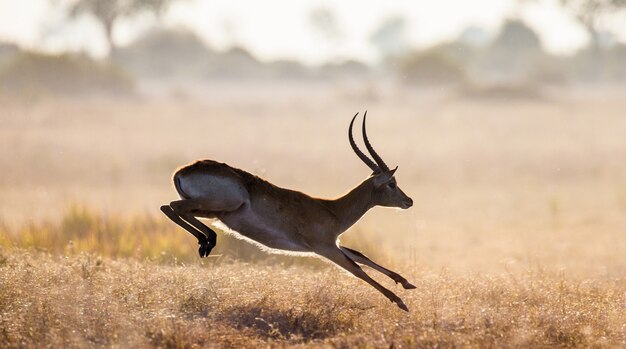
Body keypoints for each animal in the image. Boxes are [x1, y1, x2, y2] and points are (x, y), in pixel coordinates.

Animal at [161, 111, 414, 310]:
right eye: (392, 183)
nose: (408, 201)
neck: (333, 209)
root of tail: (182, 171)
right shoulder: (325, 247)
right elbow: (357, 269)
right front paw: (400, 301)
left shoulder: (333, 243)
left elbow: (361, 256)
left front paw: (406, 282)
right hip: (223, 205)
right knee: (174, 207)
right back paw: (208, 241)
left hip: (214, 212)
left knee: (169, 207)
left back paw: (205, 242)